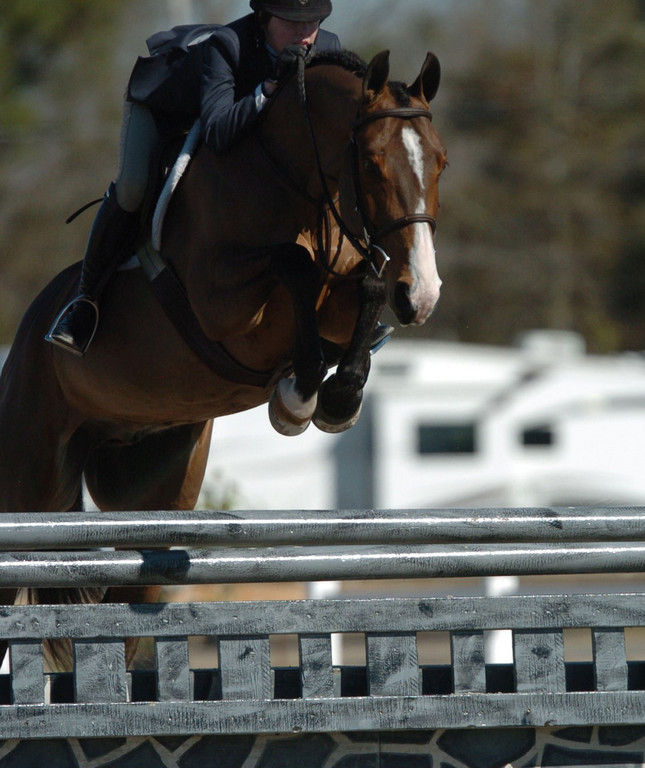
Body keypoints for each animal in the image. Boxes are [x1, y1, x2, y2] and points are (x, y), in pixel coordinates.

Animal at [0, 49, 446, 672]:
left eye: (441, 163)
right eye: (374, 163)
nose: (422, 295)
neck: (294, 178)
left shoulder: (340, 296)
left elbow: (368, 288)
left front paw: (337, 397)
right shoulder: (221, 302)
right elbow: (293, 265)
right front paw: (298, 397)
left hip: (150, 497)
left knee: (128, 601)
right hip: (29, 478)